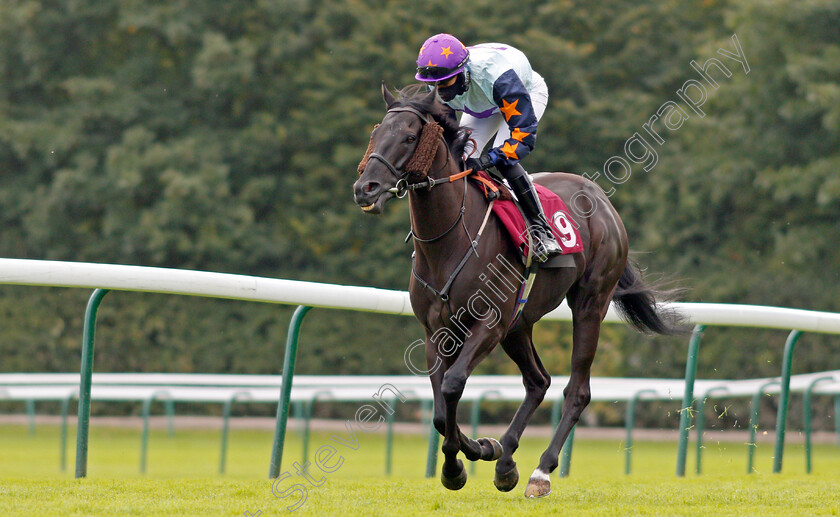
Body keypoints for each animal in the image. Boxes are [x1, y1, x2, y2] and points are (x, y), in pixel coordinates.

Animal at [354, 84, 684, 496]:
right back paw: (506, 460)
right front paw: (474, 454)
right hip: (520, 323)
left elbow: (453, 384)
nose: (364, 188)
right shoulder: (437, 332)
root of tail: (601, 198)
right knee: (537, 381)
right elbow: (440, 411)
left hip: (589, 304)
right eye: (376, 133)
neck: (448, 242)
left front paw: (465, 459)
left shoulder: (489, 325)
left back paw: (540, 471)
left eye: (410, 137)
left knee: (577, 390)